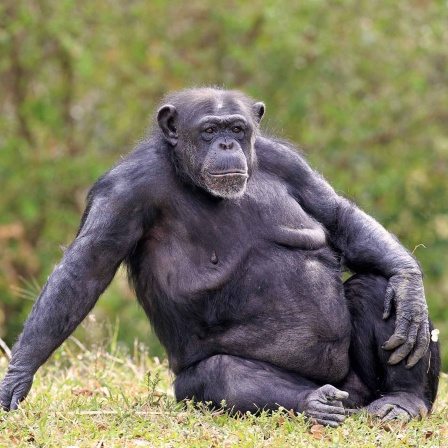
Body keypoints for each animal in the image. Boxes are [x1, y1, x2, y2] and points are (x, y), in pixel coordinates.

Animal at [0, 88, 440, 428]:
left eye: (237, 128)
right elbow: (86, 268)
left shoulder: (287, 162)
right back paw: (313, 404)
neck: (187, 174)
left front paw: (408, 282)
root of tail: (348, 395)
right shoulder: (125, 190)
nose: (226, 145)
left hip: (361, 386)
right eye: (209, 130)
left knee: (377, 288)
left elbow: (336, 215)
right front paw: (16, 379)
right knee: (223, 373)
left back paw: (402, 397)